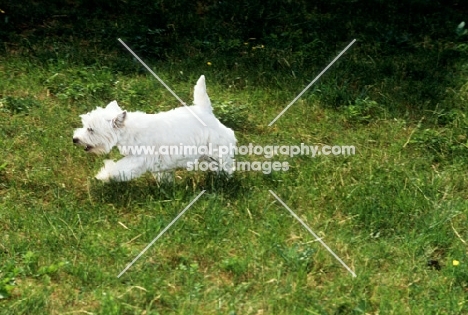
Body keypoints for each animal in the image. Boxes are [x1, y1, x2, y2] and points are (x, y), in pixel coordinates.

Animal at [73, 75, 238, 181]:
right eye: (85, 126)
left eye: (90, 129)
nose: (75, 139)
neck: (129, 131)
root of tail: (205, 110)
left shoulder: (139, 158)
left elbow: (120, 167)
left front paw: (103, 175)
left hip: (217, 149)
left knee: (226, 164)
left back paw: (224, 179)